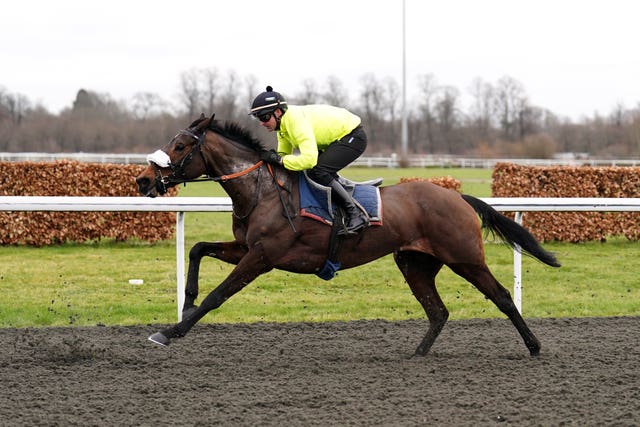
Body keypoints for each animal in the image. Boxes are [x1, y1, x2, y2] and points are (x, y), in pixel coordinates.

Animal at [135, 113, 560, 358]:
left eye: (180, 145)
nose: (143, 180)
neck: (262, 191)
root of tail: (457, 196)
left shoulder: (263, 256)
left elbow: (218, 296)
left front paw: (170, 332)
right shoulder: (246, 247)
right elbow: (197, 248)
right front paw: (186, 300)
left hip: (464, 257)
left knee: (502, 296)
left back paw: (534, 346)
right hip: (414, 263)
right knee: (438, 310)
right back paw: (417, 354)